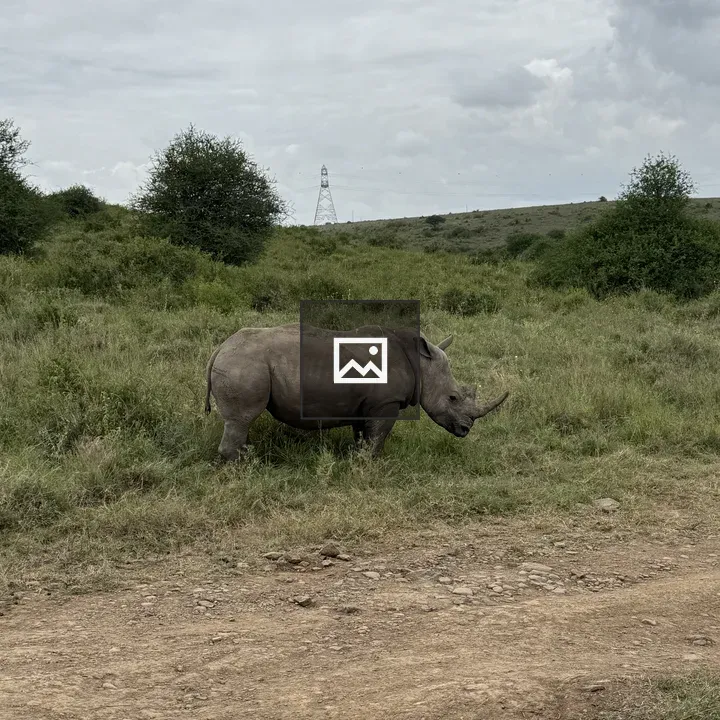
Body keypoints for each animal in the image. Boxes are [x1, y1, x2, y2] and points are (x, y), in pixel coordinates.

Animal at [204, 322, 508, 460]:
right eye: (453, 398)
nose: (465, 430)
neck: (422, 365)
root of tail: (220, 348)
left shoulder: (366, 405)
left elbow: (363, 437)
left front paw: (357, 461)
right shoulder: (385, 403)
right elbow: (377, 438)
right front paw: (371, 465)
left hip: (241, 362)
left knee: (240, 422)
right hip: (244, 364)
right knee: (241, 418)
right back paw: (247, 465)